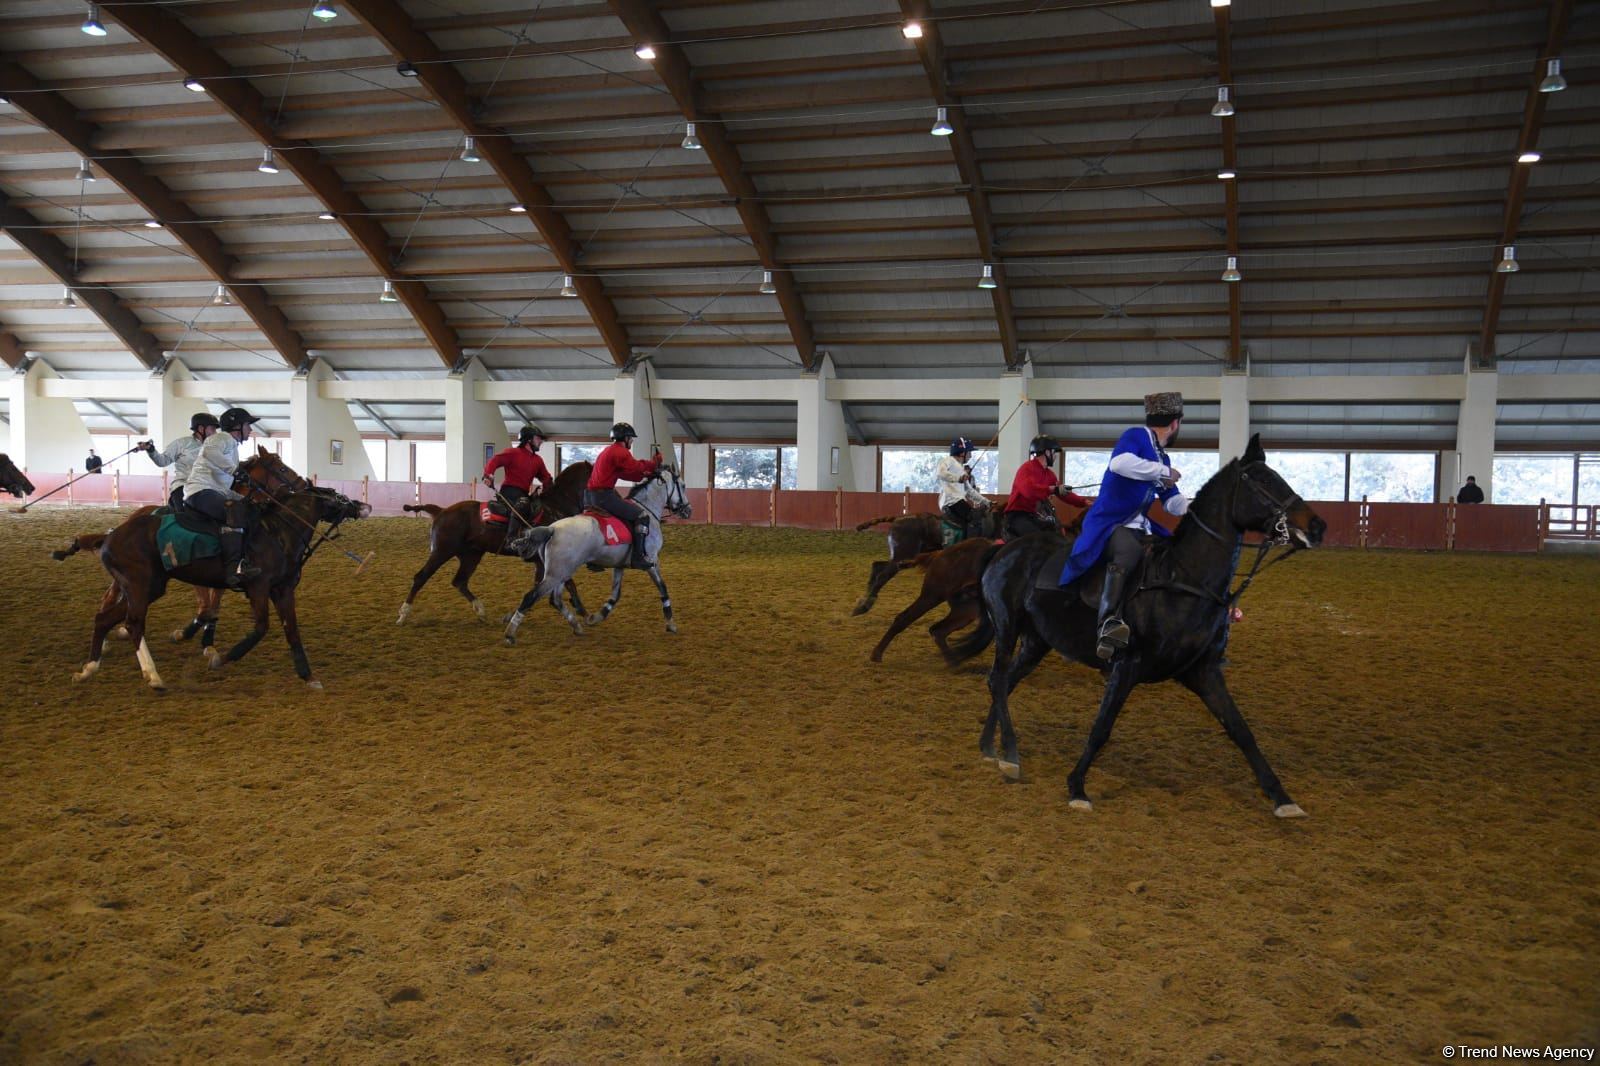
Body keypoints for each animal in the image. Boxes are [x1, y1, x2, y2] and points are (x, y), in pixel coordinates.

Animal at [396, 457, 592, 624]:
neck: (555, 508)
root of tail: (441, 510)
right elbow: (568, 583)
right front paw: (583, 611)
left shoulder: (541, 562)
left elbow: (539, 587)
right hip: (442, 551)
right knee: (421, 577)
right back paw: (403, 614)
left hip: (471, 555)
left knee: (459, 581)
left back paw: (481, 611)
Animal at [505, 467, 694, 640]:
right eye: (683, 485)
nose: (688, 510)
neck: (647, 509)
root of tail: (552, 529)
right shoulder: (652, 562)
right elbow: (662, 587)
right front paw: (670, 623)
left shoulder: (619, 565)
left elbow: (615, 595)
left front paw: (597, 616)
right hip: (556, 574)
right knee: (531, 596)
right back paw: (510, 633)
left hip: (561, 573)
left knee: (556, 599)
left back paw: (577, 626)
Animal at [947, 435, 1324, 816]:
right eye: (1262, 481)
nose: (1316, 526)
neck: (1183, 581)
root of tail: (1002, 551)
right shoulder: (1125, 667)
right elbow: (1102, 728)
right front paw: (1077, 787)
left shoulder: (1204, 672)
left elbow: (1241, 730)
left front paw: (1282, 797)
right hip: (1007, 627)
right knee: (998, 680)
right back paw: (1010, 753)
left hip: (1036, 642)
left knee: (1004, 683)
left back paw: (990, 748)